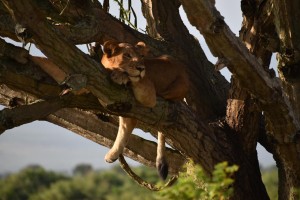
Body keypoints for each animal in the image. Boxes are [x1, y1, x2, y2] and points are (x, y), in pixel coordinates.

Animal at [102, 39, 189, 179]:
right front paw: (112, 155)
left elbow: (134, 79)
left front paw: (119, 76)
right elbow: (122, 131)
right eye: (127, 55)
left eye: (141, 56)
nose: (141, 68)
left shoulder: (149, 94)